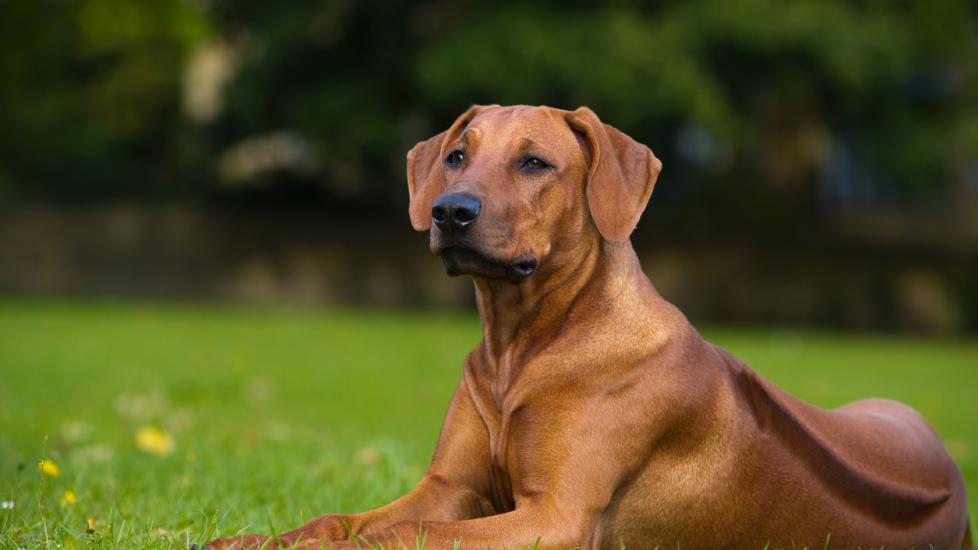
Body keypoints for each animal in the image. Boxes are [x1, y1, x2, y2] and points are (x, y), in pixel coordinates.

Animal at [206, 105, 968, 548]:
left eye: (535, 162)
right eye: (456, 155)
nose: (450, 210)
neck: (523, 345)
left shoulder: (554, 518)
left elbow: (399, 537)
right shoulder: (449, 488)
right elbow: (340, 520)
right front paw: (252, 540)